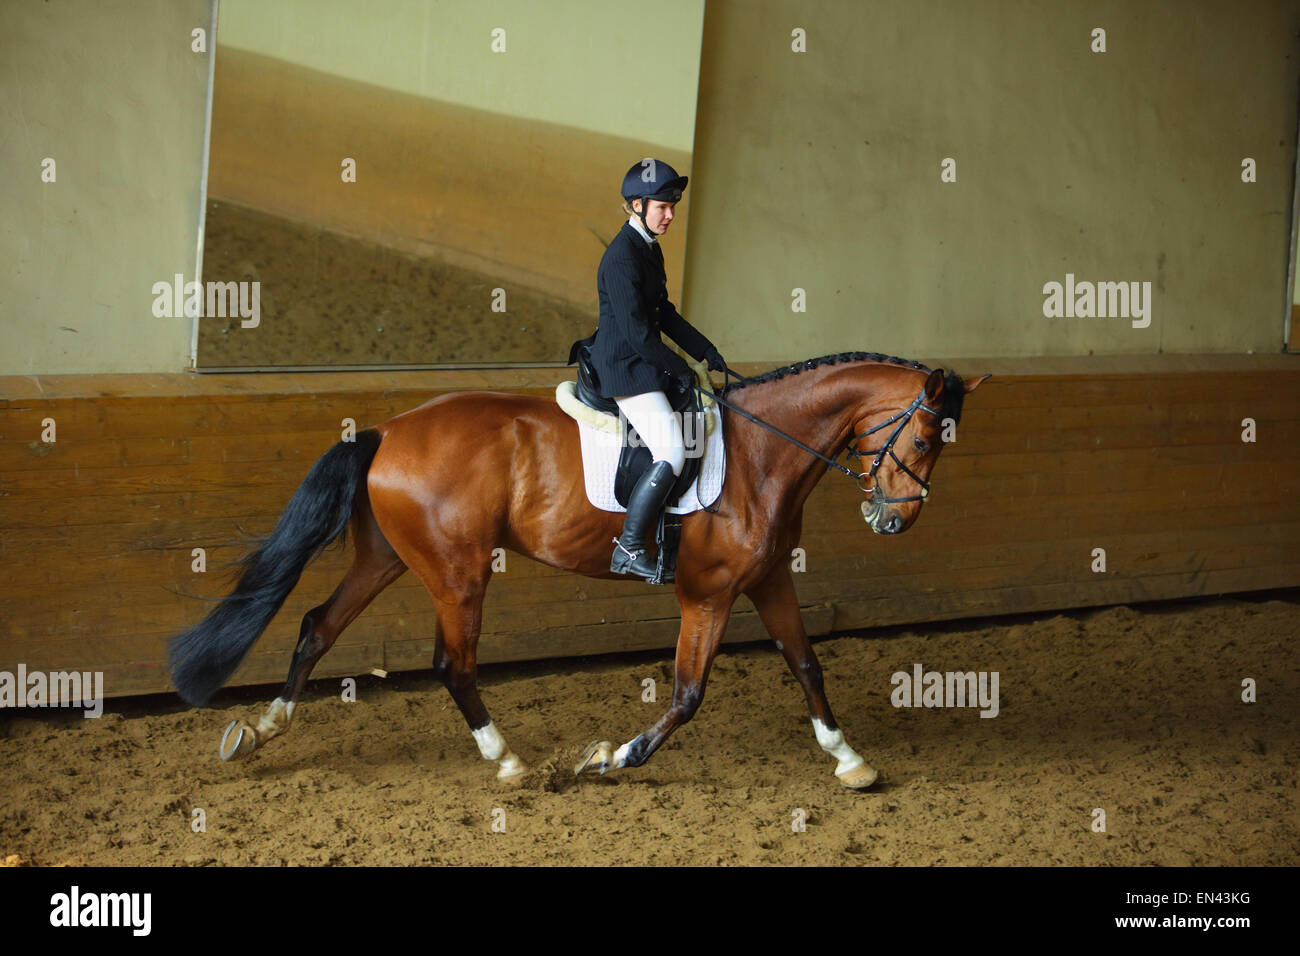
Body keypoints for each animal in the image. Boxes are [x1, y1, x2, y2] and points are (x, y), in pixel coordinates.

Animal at [170, 356, 982, 790]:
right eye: (923, 437)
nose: (894, 521)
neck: (763, 452)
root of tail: (387, 431)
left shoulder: (768, 580)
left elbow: (808, 665)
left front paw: (850, 759)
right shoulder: (709, 593)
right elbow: (687, 695)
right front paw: (610, 757)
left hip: (388, 558)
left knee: (317, 627)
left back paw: (260, 730)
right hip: (458, 573)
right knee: (452, 664)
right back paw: (508, 762)